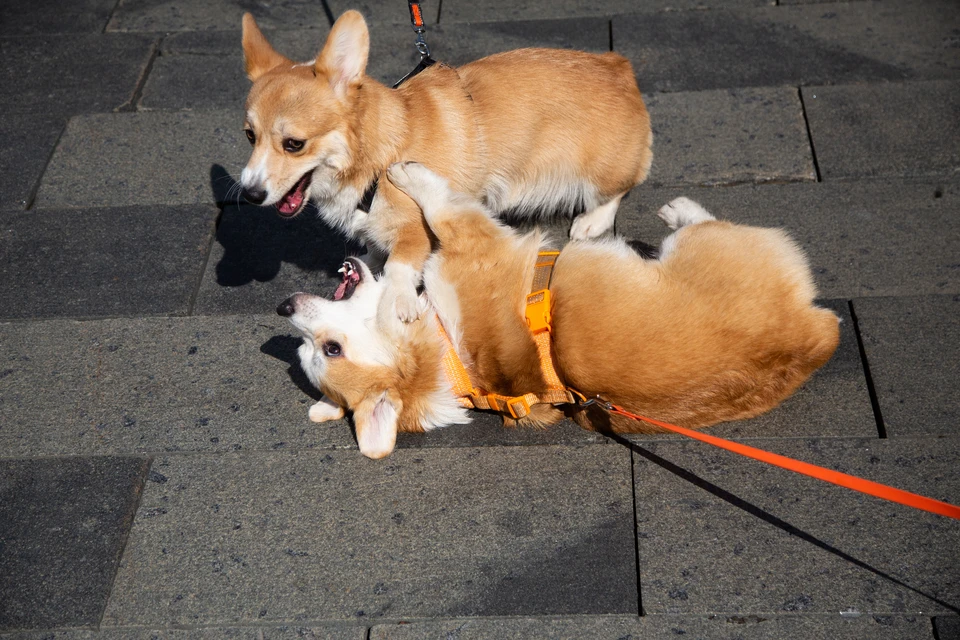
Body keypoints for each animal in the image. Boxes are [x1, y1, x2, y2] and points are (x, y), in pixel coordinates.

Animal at [238, 12, 652, 324]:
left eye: (294, 144)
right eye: (249, 136)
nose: (250, 194)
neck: (378, 155)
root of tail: (619, 66)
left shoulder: (416, 227)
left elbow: (401, 265)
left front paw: (396, 299)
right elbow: (374, 247)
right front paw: (368, 261)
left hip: (599, 172)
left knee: (618, 189)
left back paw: (591, 222)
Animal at [276, 162, 840, 458]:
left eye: (326, 349)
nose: (284, 306)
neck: (445, 351)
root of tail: (817, 333)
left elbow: (426, 221)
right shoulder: (474, 241)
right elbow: (441, 205)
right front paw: (408, 173)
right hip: (703, 246)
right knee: (700, 223)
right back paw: (678, 210)